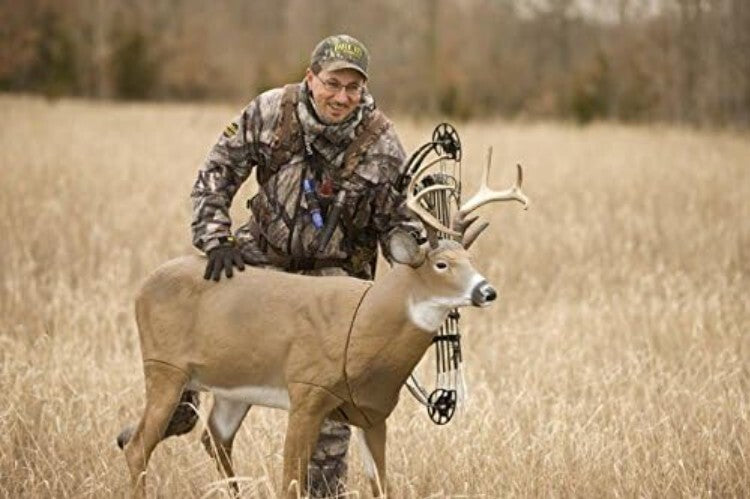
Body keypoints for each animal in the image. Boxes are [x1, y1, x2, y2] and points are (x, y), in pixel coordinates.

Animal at [117, 151, 529, 498]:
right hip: (164, 367)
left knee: (215, 441)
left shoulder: (372, 414)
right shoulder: (306, 392)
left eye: (471, 259)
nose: (487, 291)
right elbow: (291, 483)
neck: (361, 327)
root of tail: (142, 288)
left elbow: (383, 487)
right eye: (442, 264)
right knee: (137, 446)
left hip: (231, 388)